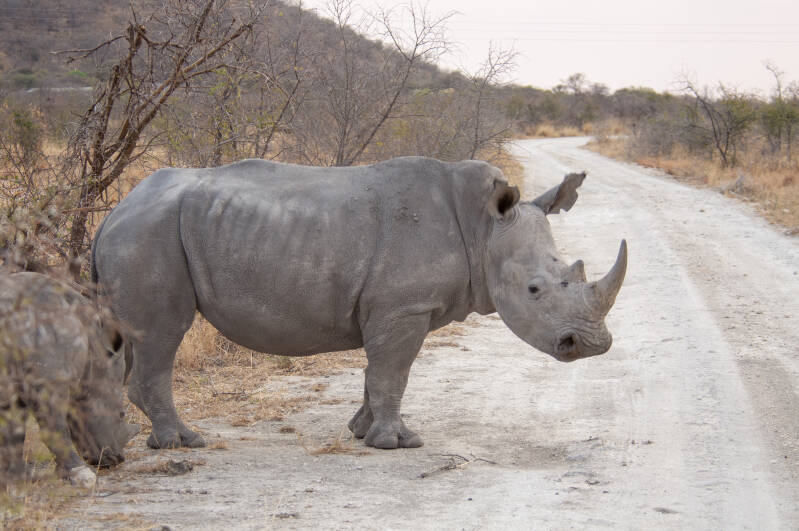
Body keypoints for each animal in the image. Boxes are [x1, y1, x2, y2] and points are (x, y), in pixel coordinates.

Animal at [0, 272, 138, 488]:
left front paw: (18, 478)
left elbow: (14, 431)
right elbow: (55, 426)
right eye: (121, 414)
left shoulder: (17, 384)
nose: (116, 459)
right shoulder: (50, 382)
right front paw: (82, 475)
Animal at [92, 157, 626, 450]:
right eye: (536, 289)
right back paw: (182, 443)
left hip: (143, 231)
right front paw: (397, 443)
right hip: (147, 233)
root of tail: (113, 212)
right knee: (163, 333)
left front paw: (360, 431)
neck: (483, 230)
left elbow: (377, 372)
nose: (592, 345)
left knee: (132, 341)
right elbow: (393, 372)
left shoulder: (391, 309)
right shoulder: (404, 307)